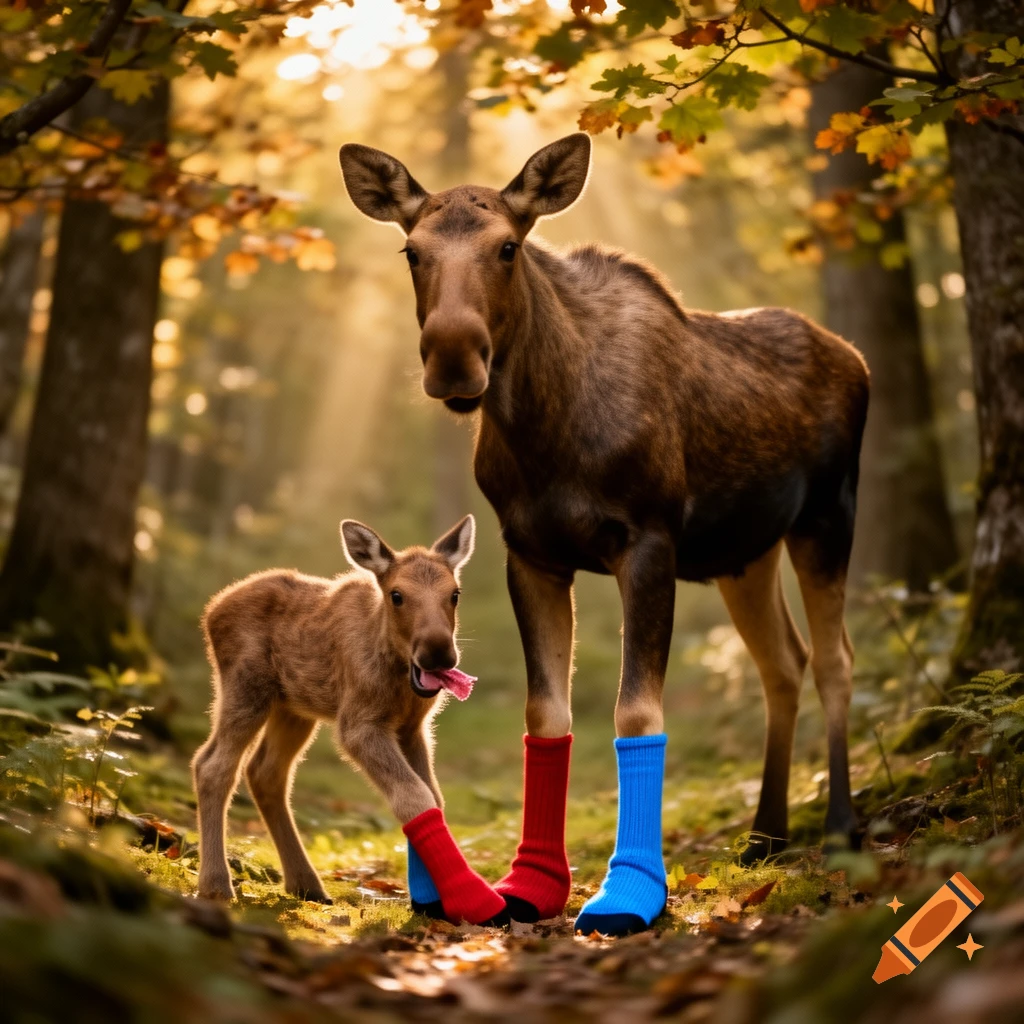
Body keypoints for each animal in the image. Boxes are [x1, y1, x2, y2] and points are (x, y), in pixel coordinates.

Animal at [192, 514, 511, 927]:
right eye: (396, 595)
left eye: (455, 593)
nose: (439, 653)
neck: (397, 676)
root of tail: (211, 611)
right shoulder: (358, 725)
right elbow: (413, 796)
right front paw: (474, 900)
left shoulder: (413, 729)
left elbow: (434, 797)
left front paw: (431, 901)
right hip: (246, 689)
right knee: (213, 765)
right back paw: (216, 885)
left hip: (293, 708)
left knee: (265, 772)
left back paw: (306, 884)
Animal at [339, 134, 870, 936]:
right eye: (411, 250)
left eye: (507, 246)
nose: (455, 358)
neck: (544, 431)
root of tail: (857, 358)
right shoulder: (530, 554)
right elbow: (546, 712)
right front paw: (532, 881)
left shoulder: (647, 542)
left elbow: (636, 708)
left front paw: (632, 891)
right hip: (746, 553)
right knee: (784, 662)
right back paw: (764, 836)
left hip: (827, 517)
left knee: (836, 658)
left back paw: (838, 827)